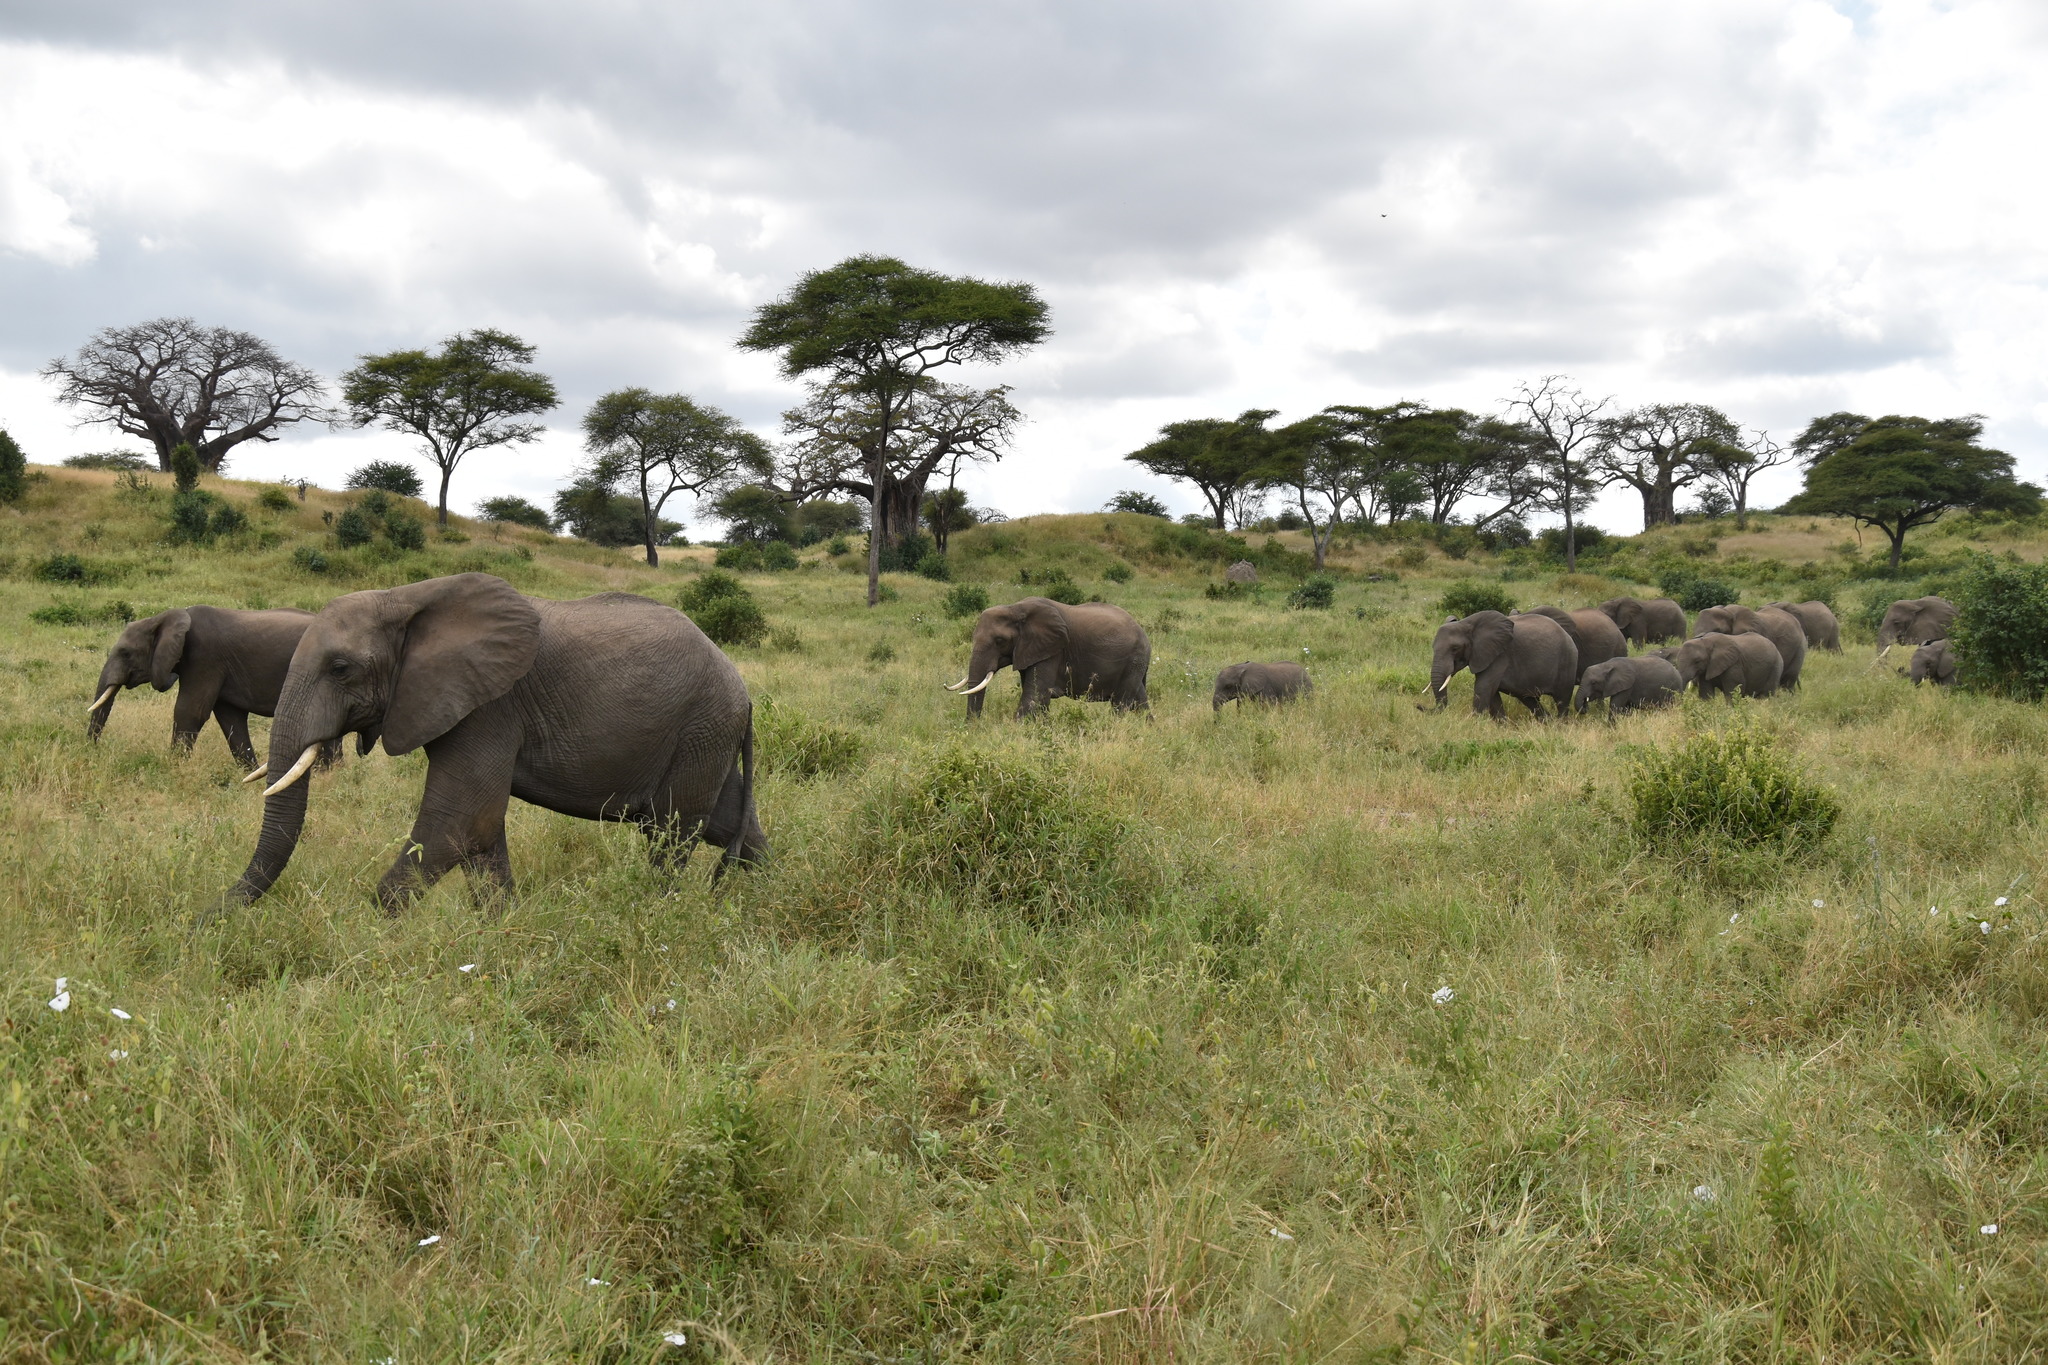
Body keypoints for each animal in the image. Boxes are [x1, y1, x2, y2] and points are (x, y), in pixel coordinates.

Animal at [88, 605, 342, 769]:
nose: (93, 752)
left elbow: (189, 711)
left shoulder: (204, 658)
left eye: (125, 653)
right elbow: (231, 719)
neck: (165, 617)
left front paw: (175, 767)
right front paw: (248, 773)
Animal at [216, 573, 765, 925]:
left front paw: (367, 933)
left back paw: (655, 913)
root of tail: (743, 691)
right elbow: (480, 830)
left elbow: (460, 822)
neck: (406, 598)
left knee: (671, 832)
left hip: (700, 727)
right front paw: (498, 932)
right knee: (728, 825)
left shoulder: (489, 707)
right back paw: (765, 898)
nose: (208, 921)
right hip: (707, 735)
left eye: (340, 668)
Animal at [946, 601, 1155, 724]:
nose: (973, 728)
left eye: (999, 641)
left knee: (1121, 703)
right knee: (1139, 699)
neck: (1015, 608)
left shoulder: (1052, 650)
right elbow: (1039, 696)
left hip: (1134, 659)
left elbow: (1035, 695)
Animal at [1425, 609, 1581, 716]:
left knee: (1562, 700)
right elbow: (1492, 696)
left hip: (1567, 661)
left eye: (1455, 648)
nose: (1420, 706)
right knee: (1531, 700)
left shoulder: (1500, 655)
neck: (1467, 623)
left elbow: (1483, 688)